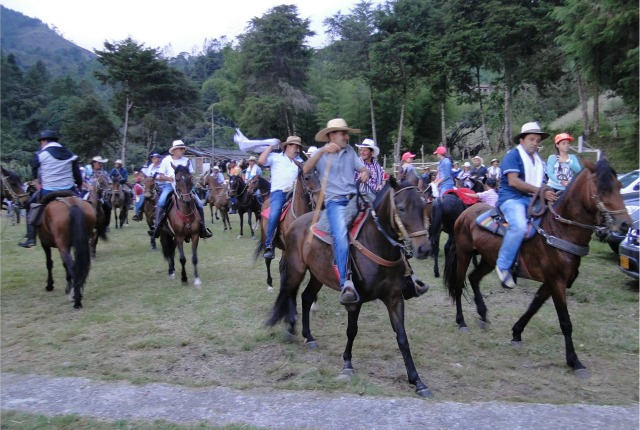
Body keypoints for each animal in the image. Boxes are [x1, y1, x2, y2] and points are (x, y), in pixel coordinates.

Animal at [264, 178, 430, 396]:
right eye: (401, 208)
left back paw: (309, 336)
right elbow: (352, 330)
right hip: (296, 268)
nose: (424, 249)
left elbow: (402, 337)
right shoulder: (354, 300)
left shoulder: (394, 298)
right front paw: (347, 364)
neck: (377, 243)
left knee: (306, 297)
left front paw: (417, 381)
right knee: (289, 292)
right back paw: (291, 327)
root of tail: (296, 223)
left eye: (424, 206)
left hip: (318, 274)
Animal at [442, 159, 632, 376]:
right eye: (603, 188)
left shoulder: (551, 282)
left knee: (474, 278)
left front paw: (516, 333)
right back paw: (461, 322)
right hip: (464, 254)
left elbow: (534, 306)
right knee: (458, 286)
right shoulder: (556, 281)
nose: (625, 224)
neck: (559, 230)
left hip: (489, 259)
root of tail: (464, 214)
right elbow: (565, 321)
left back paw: (482, 314)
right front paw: (574, 361)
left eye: (619, 186)